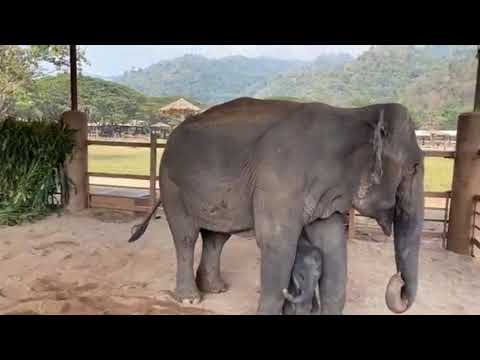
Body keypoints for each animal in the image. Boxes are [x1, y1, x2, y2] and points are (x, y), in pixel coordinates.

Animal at [128, 97, 424, 314]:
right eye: (414, 168)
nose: (397, 281)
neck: (352, 115)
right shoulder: (278, 179)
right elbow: (277, 243)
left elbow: (333, 245)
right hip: (172, 184)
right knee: (186, 236)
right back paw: (190, 299)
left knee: (217, 237)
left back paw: (216, 289)